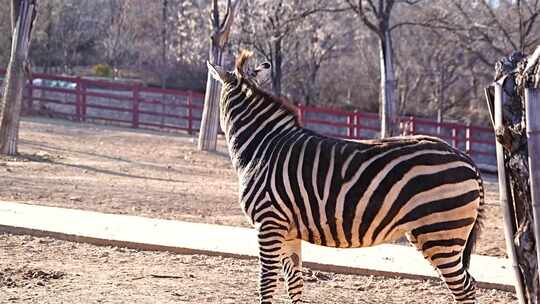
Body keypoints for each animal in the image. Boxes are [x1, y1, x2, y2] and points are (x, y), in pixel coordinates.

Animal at [207, 50, 486, 304]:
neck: (262, 145)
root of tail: (467, 159)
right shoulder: (288, 230)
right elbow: (294, 284)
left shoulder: (269, 223)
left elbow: (266, 283)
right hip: (432, 233)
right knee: (467, 284)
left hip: (441, 232)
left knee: (464, 288)